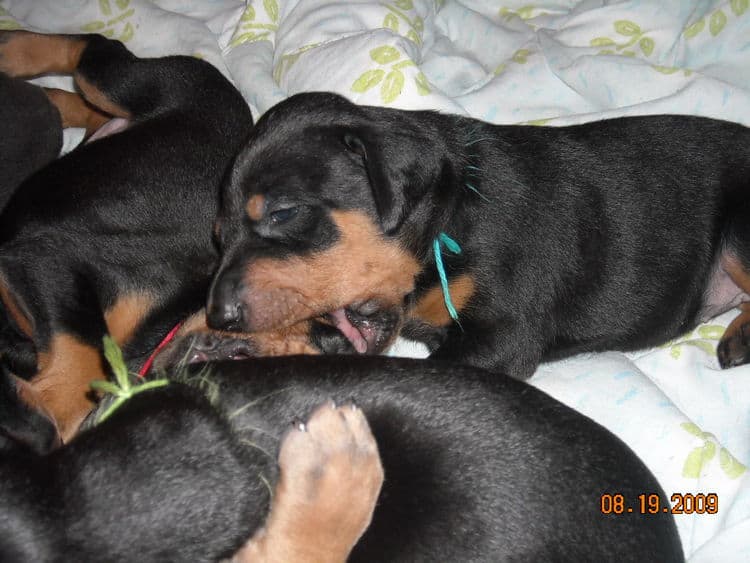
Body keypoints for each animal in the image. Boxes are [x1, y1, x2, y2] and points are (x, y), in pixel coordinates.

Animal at [203, 92, 750, 378]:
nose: (218, 317)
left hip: (740, 233)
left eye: (282, 213)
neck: (449, 221)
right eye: (218, 236)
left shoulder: (504, 332)